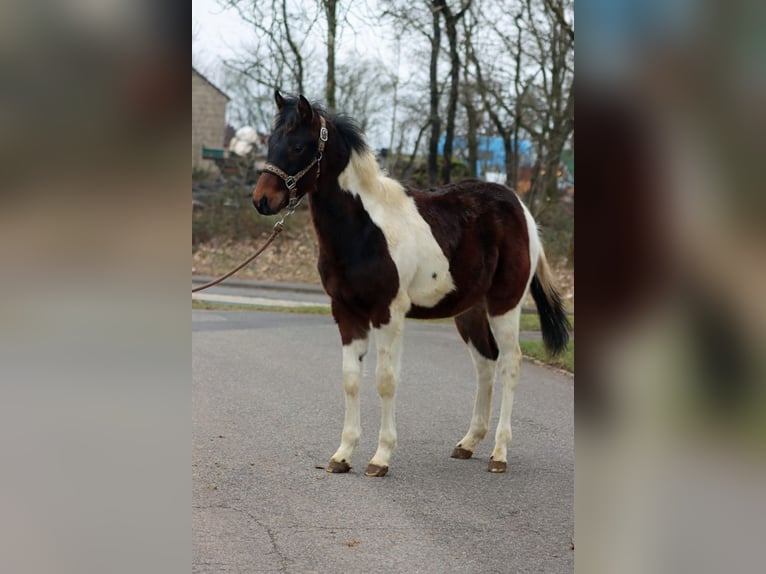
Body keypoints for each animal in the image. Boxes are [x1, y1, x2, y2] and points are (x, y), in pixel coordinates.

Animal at [253, 91, 570, 477]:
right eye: (270, 142)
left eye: (298, 146)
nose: (262, 200)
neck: (364, 229)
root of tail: (521, 210)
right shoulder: (345, 311)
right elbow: (350, 379)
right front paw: (342, 455)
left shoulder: (387, 313)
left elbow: (386, 380)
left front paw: (380, 458)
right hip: (469, 311)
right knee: (485, 364)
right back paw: (468, 443)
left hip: (504, 305)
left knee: (510, 363)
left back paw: (499, 454)